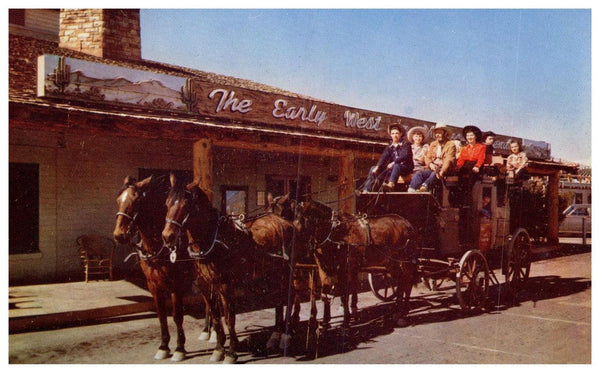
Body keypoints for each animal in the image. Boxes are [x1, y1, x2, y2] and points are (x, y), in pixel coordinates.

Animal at [111, 176, 212, 362]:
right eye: (118, 200)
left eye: (136, 201)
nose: (119, 235)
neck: (159, 246)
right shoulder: (153, 286)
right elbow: (161, 316)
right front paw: (163, 346)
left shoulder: (176, 286)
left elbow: (177, 316)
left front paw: (179, 348)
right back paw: (206, 331)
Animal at [162, 175, 300, 362]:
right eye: (167, 203)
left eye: (185, 204)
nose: (167, 236)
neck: (214, 240)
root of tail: (285, 222)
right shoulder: (206, 285)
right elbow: (215, 316)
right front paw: (219, 349)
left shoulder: (226, 285)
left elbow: (229, 317)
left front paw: (231, 352)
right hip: (273, 273)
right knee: (278, 299)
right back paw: (275, 335)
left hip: (286, 272)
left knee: (289, 296)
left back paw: (285, 335)